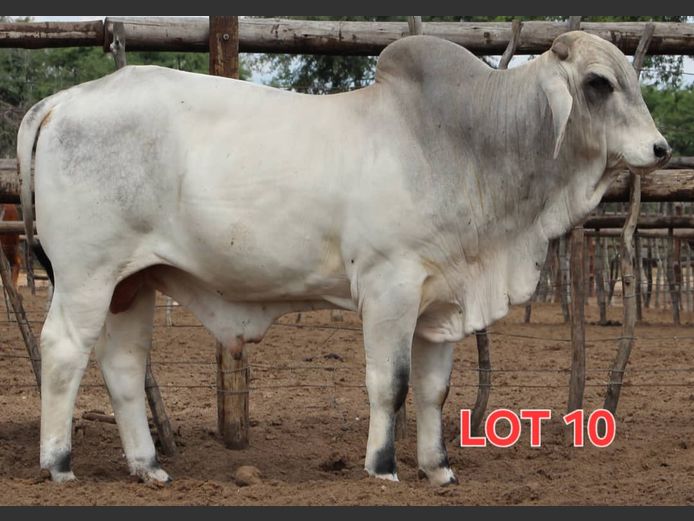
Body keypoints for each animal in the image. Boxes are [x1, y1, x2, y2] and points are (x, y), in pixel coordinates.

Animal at [17, 31, 669, 486]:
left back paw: (147, 466)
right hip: (86, 276)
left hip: (134, 282)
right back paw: (58, 463)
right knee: (64, 352)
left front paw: (439, 468)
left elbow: (433, 390)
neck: (466, 142)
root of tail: (59, 102)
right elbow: (391, 383)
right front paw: (382, 466)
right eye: (598, 83)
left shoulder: (442, 304)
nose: (661, 148)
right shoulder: (389, 287)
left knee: (123, 367)